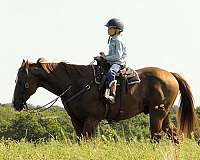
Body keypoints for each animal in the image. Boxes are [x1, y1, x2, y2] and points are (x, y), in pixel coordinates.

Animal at [12, 58, 197, 141]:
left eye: (21, 80)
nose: (15, 104)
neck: (76, 83)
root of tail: (170, 75)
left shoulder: (91, 120)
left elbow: (88, 142)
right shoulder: (77, 121)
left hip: (156, 116)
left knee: (156, 137)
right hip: (164, 116)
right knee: (175, 137)